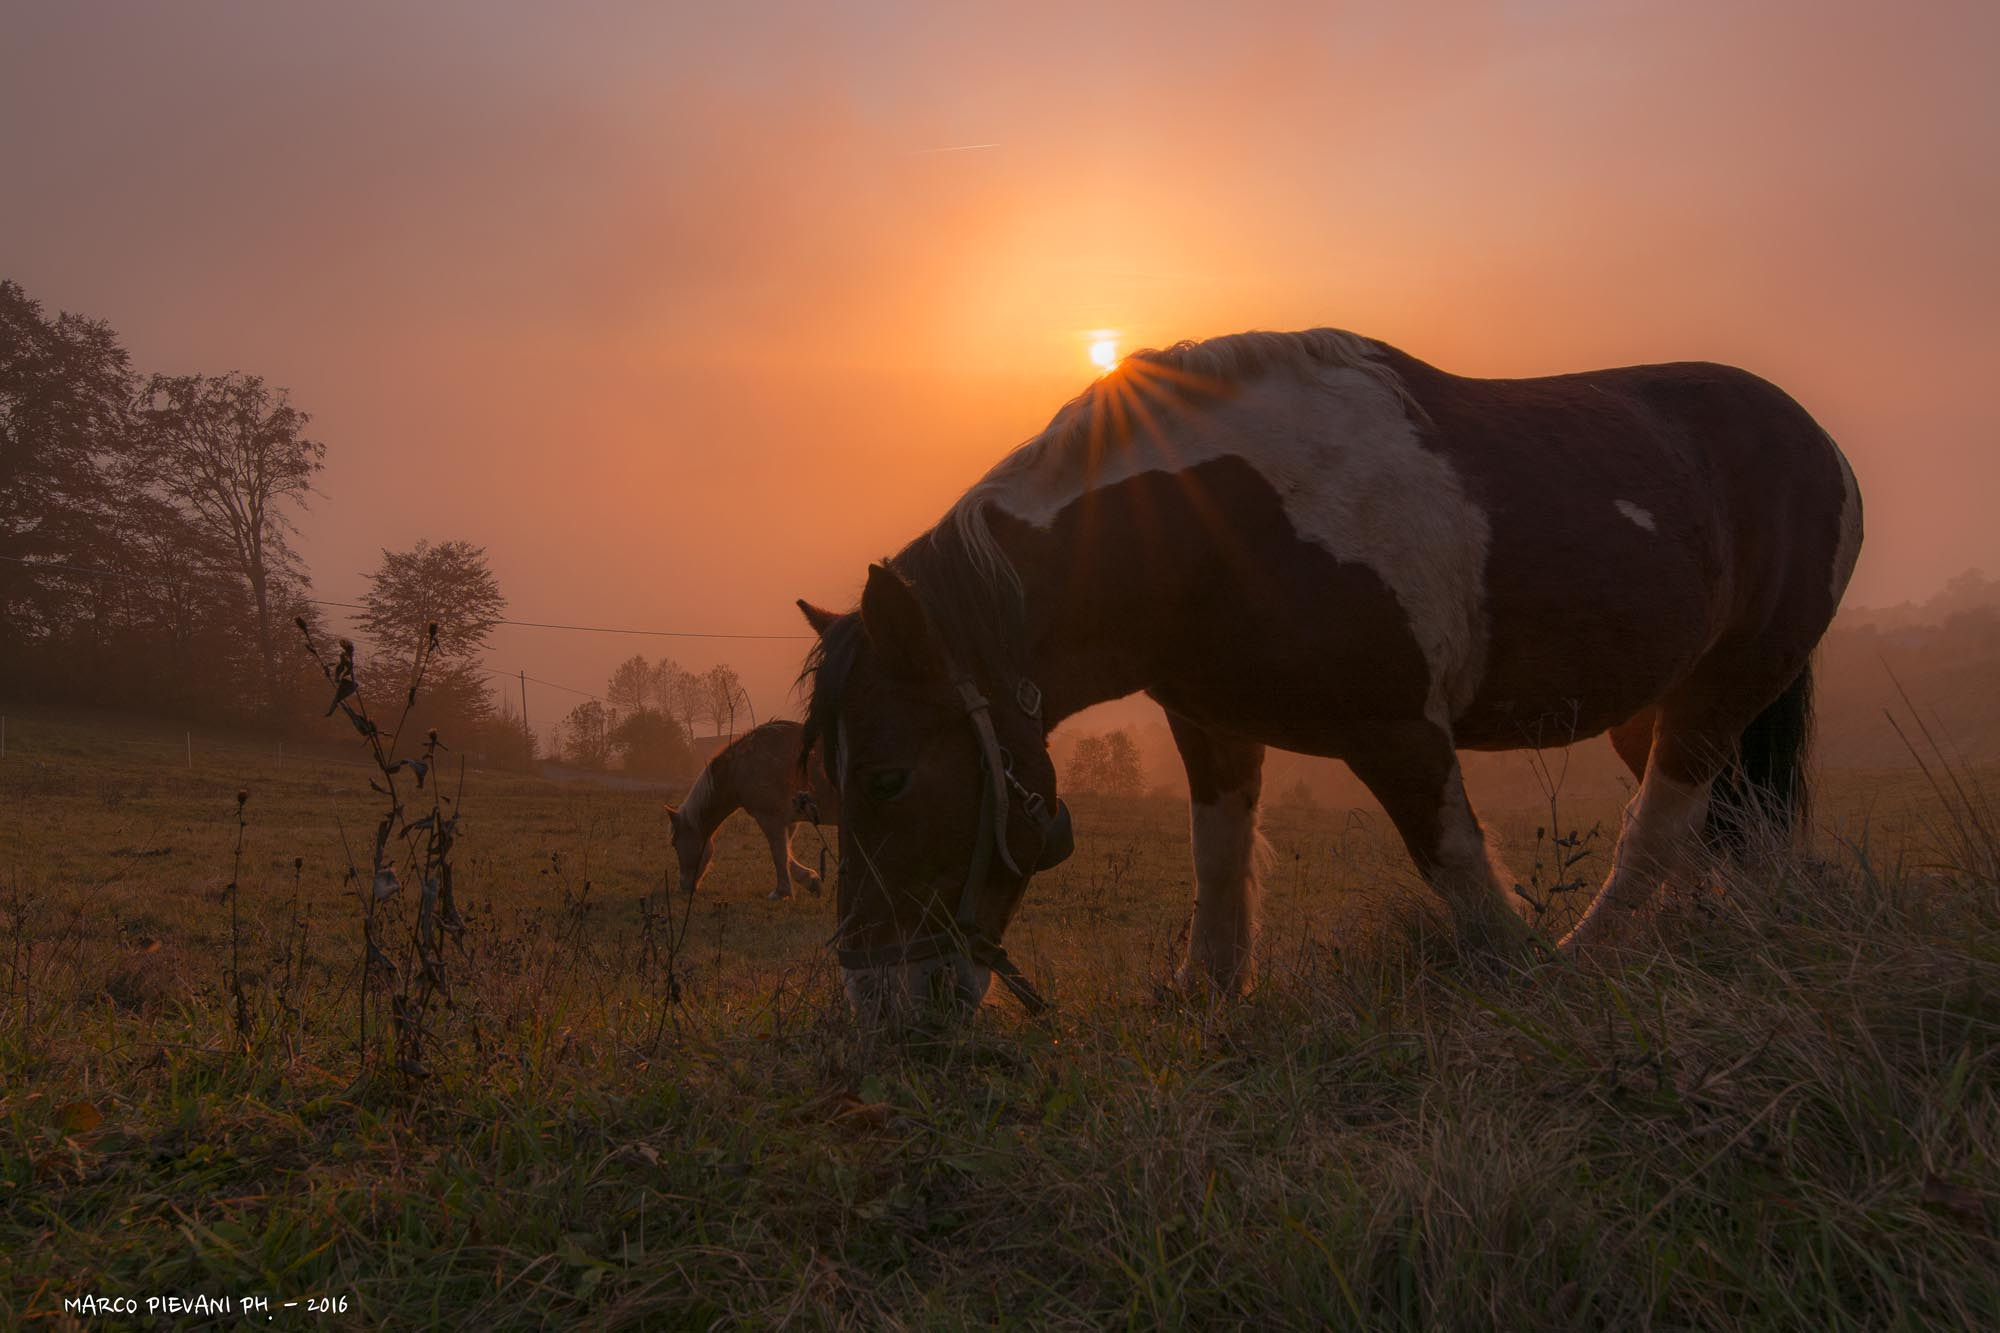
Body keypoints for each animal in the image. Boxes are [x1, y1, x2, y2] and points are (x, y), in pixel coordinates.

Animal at [662, 720, 839, 900]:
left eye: (674, 844)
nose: (685, 886)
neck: (741, 766)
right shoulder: (789, 821)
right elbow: (787, 853)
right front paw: (811, 881)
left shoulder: (769, 819)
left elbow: (779, 854)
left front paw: (781, 892)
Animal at [797, 328, 1863, 1015]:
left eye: (887, 778)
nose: (878, 1005)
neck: (1207, 527)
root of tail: (1815, 440)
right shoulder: (1211, 725)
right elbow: (1219, 858)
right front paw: (1207, 991)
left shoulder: (1399, 733)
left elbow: (1457, 864)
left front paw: (1520, 977)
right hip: (1655, 708)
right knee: (1736, 823)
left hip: (1722, 692)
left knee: (1663, 823)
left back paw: (1587, 957)